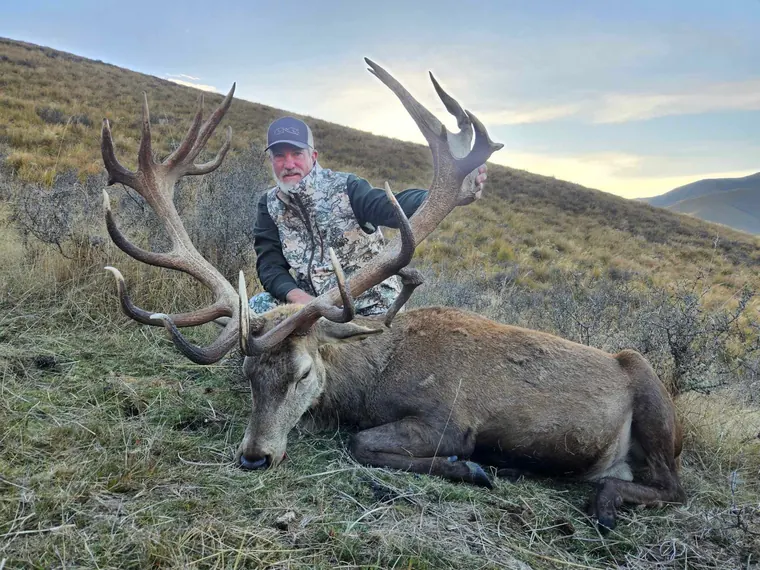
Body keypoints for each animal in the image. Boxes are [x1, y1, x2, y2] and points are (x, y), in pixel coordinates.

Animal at [101, 58, 686, 530]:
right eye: (247, 375)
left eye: (304, 373)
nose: (254, 457)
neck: (370, 382)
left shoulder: (449, 420)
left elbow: (364, 443)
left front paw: (473, 468)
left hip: (652, 397)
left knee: (673, 487)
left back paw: (604, 503)